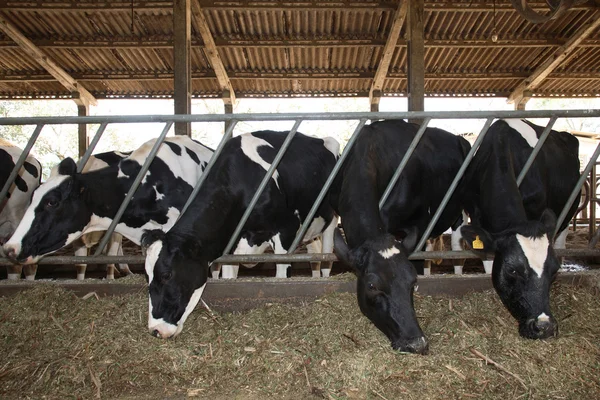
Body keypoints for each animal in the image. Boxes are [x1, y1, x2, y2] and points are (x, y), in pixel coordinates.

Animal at [139, 131, 338, 340]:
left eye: (166, 274)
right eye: (146, 275)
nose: (156, 330)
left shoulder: (286, 229)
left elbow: (281, 276)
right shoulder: (231, 243)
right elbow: (229, 277)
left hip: (330, 217)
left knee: (326, 256)